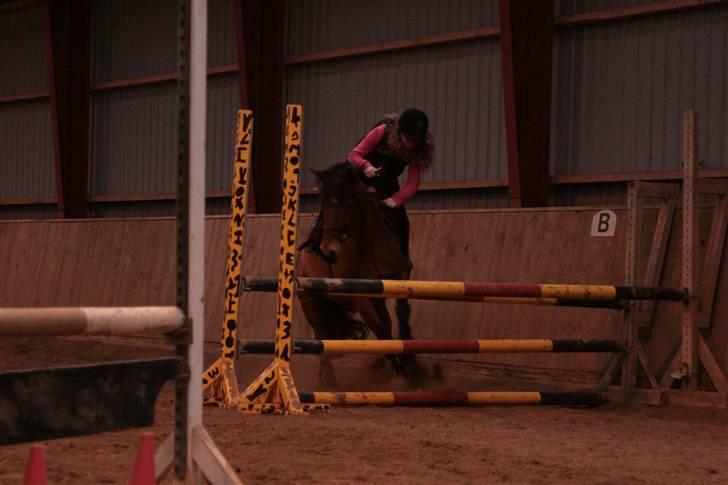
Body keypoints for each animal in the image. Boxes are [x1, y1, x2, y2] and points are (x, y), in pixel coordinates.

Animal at [294, 163, 416, 386]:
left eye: (349, 204)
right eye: (324, 205)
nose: (328, 251)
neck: (370, 247)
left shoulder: (400, 278)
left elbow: (400, 314)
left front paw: (408, 361)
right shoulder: (361, 298)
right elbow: (380, 330)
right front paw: (401, 370)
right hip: (310, 303)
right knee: (320, 333)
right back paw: (327, 378)